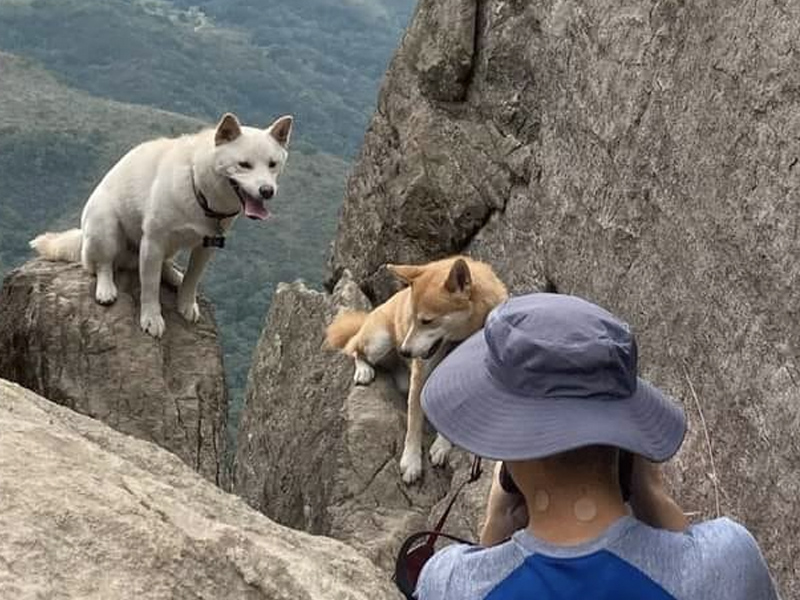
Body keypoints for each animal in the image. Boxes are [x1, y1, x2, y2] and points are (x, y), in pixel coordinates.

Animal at [32, 113, 294, 338]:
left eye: (272, 164)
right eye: (244, 164)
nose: (267, 191)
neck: (199, 188)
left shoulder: (207, 246)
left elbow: (193, 277)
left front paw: (186, 302)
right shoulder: (153, 241)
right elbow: (149, 286)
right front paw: (151, 318)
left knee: (165, 265)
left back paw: (174, 276)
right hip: (104, 227)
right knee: (102, 264)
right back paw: (106, 288)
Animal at [324, 255, 506, 486]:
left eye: (427, 321)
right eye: (412, 318)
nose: (405, 351)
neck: (458, 340)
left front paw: (442, 445)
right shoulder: (422, 374)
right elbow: (414, 419)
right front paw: (411, 461)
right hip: (378, 341)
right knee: (354, 348)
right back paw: (364, 369)